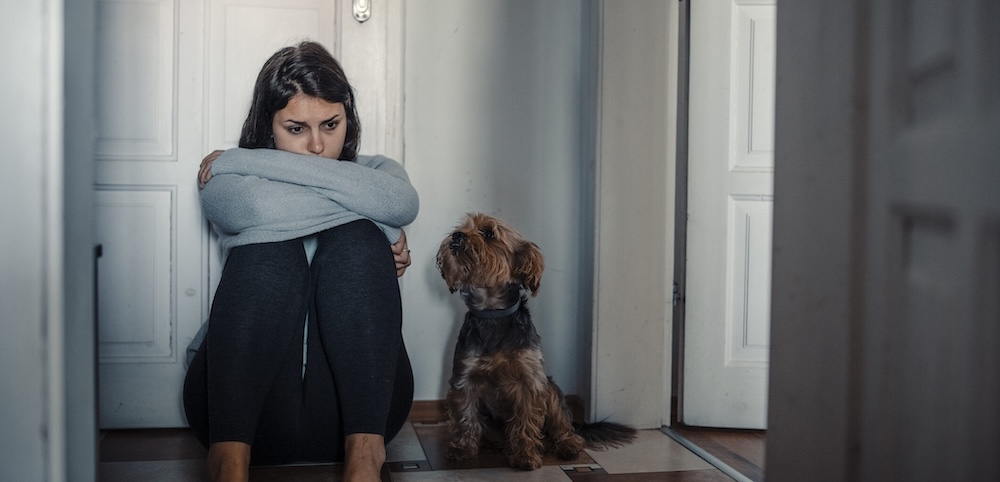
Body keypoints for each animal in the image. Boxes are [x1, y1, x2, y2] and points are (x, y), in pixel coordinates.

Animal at [436, 213, 636, 468]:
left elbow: (525, 421)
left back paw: (567, 445)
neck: (492, 313)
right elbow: (465, 416)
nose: (456, 235)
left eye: (489, 233)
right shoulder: (464, 378)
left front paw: (525, 456)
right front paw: (462, 449)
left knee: (564, 427)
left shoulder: (529, 382)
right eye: (462, 227)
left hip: (551, 390)